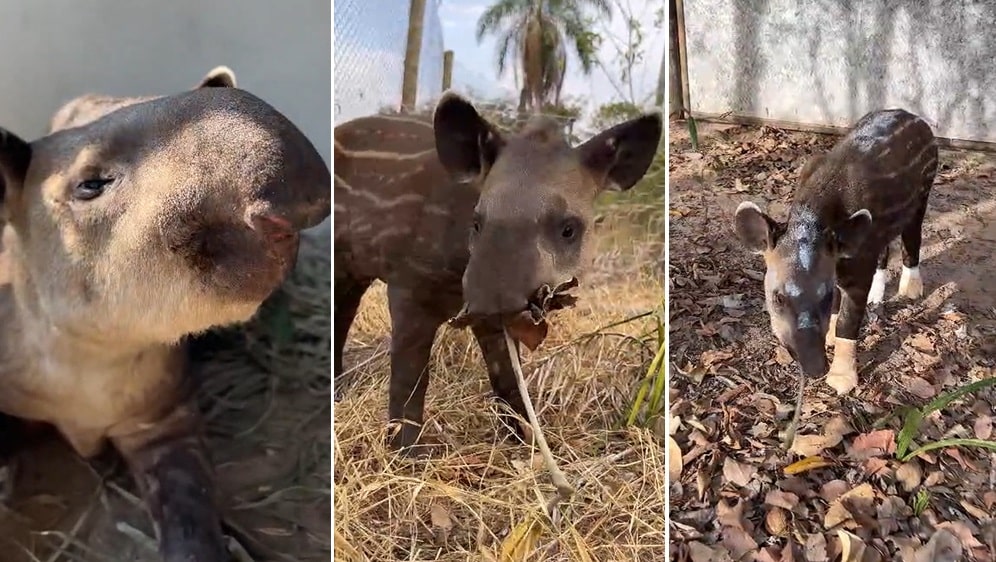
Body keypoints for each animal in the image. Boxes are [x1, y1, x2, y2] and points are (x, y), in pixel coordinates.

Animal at [334, 92, 660, 450]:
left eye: (569, 229)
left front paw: (524, 442)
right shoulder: (409, 283)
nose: (494, 302)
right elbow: (410, 376)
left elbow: (508, 380)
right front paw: (405, 452)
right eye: (477, 221)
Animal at [736, 109, 936, 394]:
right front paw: (829, 338)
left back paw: (910, 291)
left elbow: (847, 322)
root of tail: (916, 118)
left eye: (825, 296)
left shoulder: (857, 265)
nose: (816, 368)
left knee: (912, 234)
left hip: (922, 195)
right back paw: (877, 297)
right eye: (778, 298)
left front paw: (841, 380)